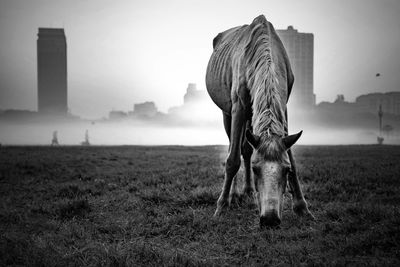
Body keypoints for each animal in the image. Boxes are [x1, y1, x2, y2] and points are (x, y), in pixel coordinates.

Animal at [208, 14, 314, 228]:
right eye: (256, 169)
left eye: (285, 170)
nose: (270, 219)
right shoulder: (238, 107)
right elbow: (232, 160)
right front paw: (221, 207)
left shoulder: (284, 108)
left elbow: (292, 158)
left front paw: (302, 207)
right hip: (228, 113)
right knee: (234, 147)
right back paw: (233, 195)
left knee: (247, 149)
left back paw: (247, 191)